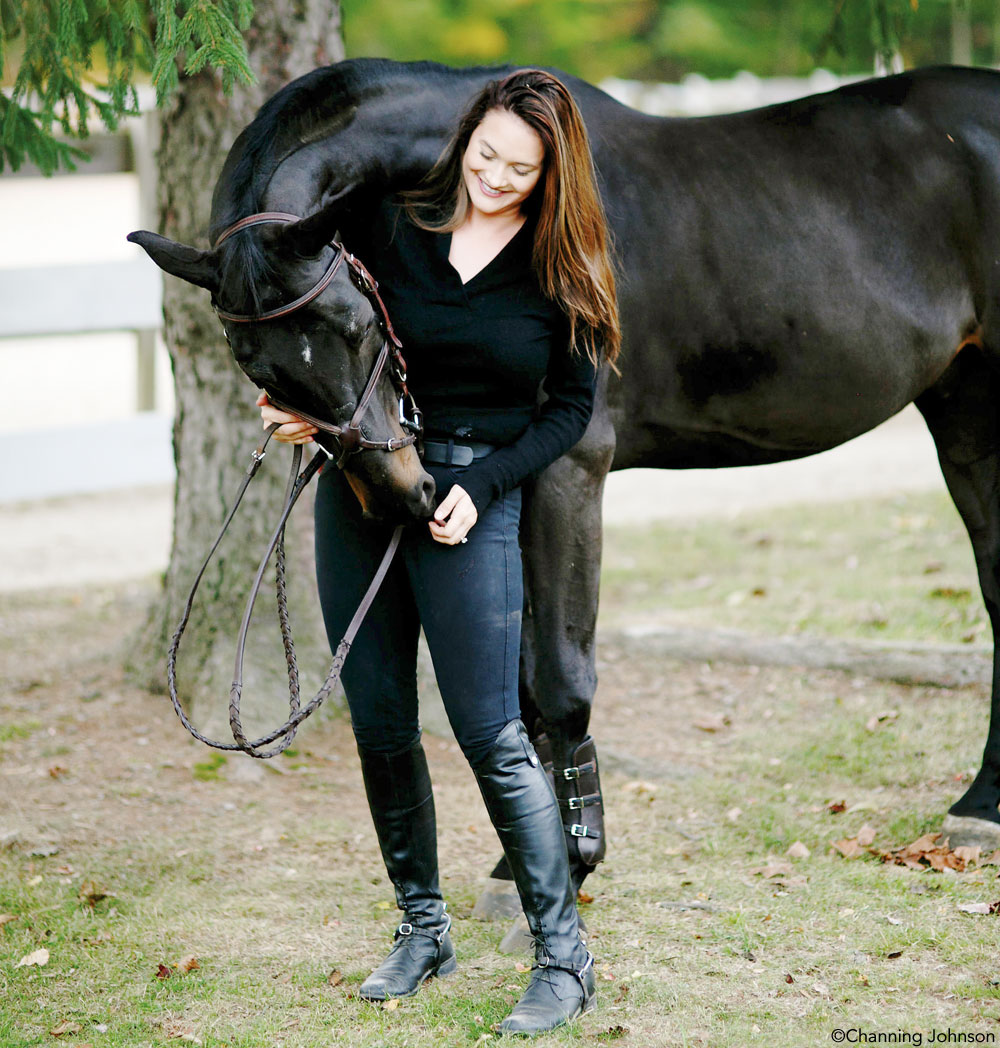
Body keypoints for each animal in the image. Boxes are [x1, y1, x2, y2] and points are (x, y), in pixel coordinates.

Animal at [132, 55, 1000, 884]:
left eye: (354, 323)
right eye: (256, 364)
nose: (404, 495)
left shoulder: (569, 466)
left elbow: (559, 673)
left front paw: (575, 854)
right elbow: (519, 682)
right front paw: (530, 857)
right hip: (964, 408)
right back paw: (978, 808)